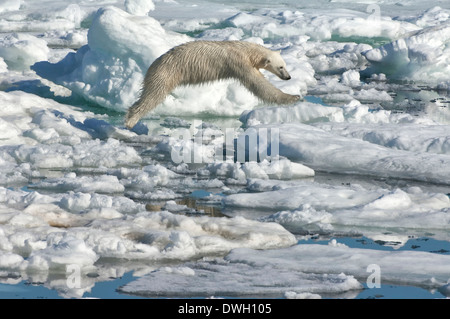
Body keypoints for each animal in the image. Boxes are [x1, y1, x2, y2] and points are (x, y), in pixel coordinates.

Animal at [124, 40, 298, 128]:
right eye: (280, 67)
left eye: (285, 65)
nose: (288, 77)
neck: (245, 50)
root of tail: (152, 65)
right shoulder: (238, 62)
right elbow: (259, 85)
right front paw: (293, 97)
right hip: (166, 74)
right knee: (153, 95)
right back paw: (131, 120)